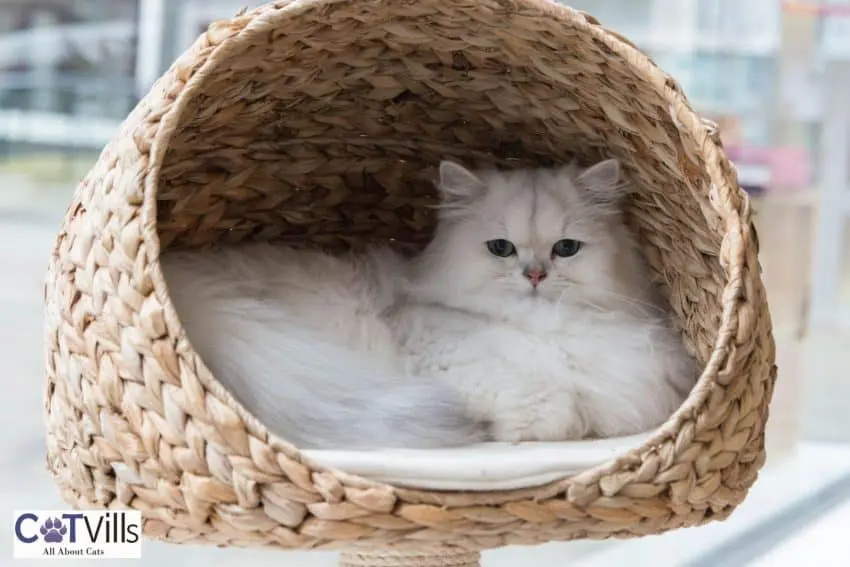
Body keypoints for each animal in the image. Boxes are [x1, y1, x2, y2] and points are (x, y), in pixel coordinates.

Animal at [161, 159, 696, 448]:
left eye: (566, 249)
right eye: (500, 248)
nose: (535, 275)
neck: (544, 327)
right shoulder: (457, 367)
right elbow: (554, 408)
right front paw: (508, 425)